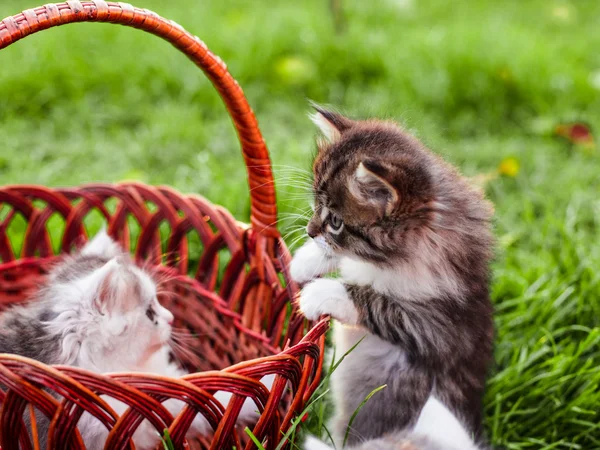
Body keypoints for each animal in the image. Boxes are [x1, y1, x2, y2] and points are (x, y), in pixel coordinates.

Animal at [290, 107, 492, 448]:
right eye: (316, 206)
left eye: (335, 221)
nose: (309, 231)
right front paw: (304, 260)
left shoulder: (437, 328)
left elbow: (376, 302)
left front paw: (320, 293)